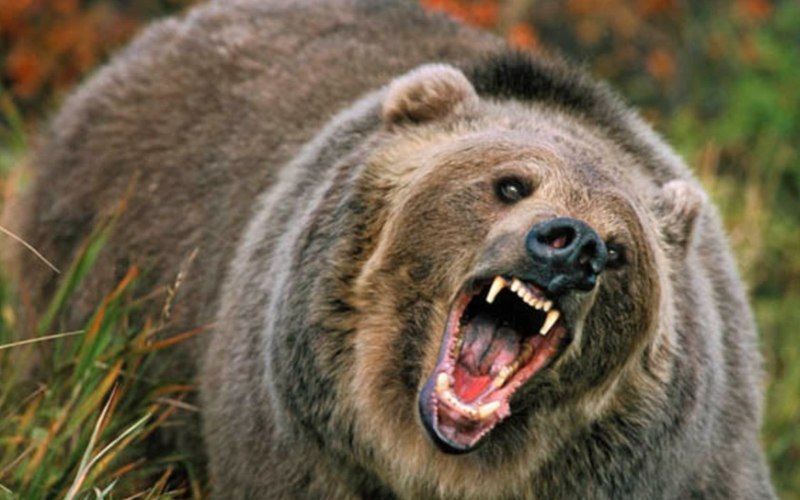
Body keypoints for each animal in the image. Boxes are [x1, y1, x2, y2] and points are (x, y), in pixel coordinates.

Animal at [3, 0, 775, 498]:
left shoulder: (694, 462)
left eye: (619, 251)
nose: (571, 244)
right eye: (510, 183)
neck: (442, 465)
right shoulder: (296, 447)